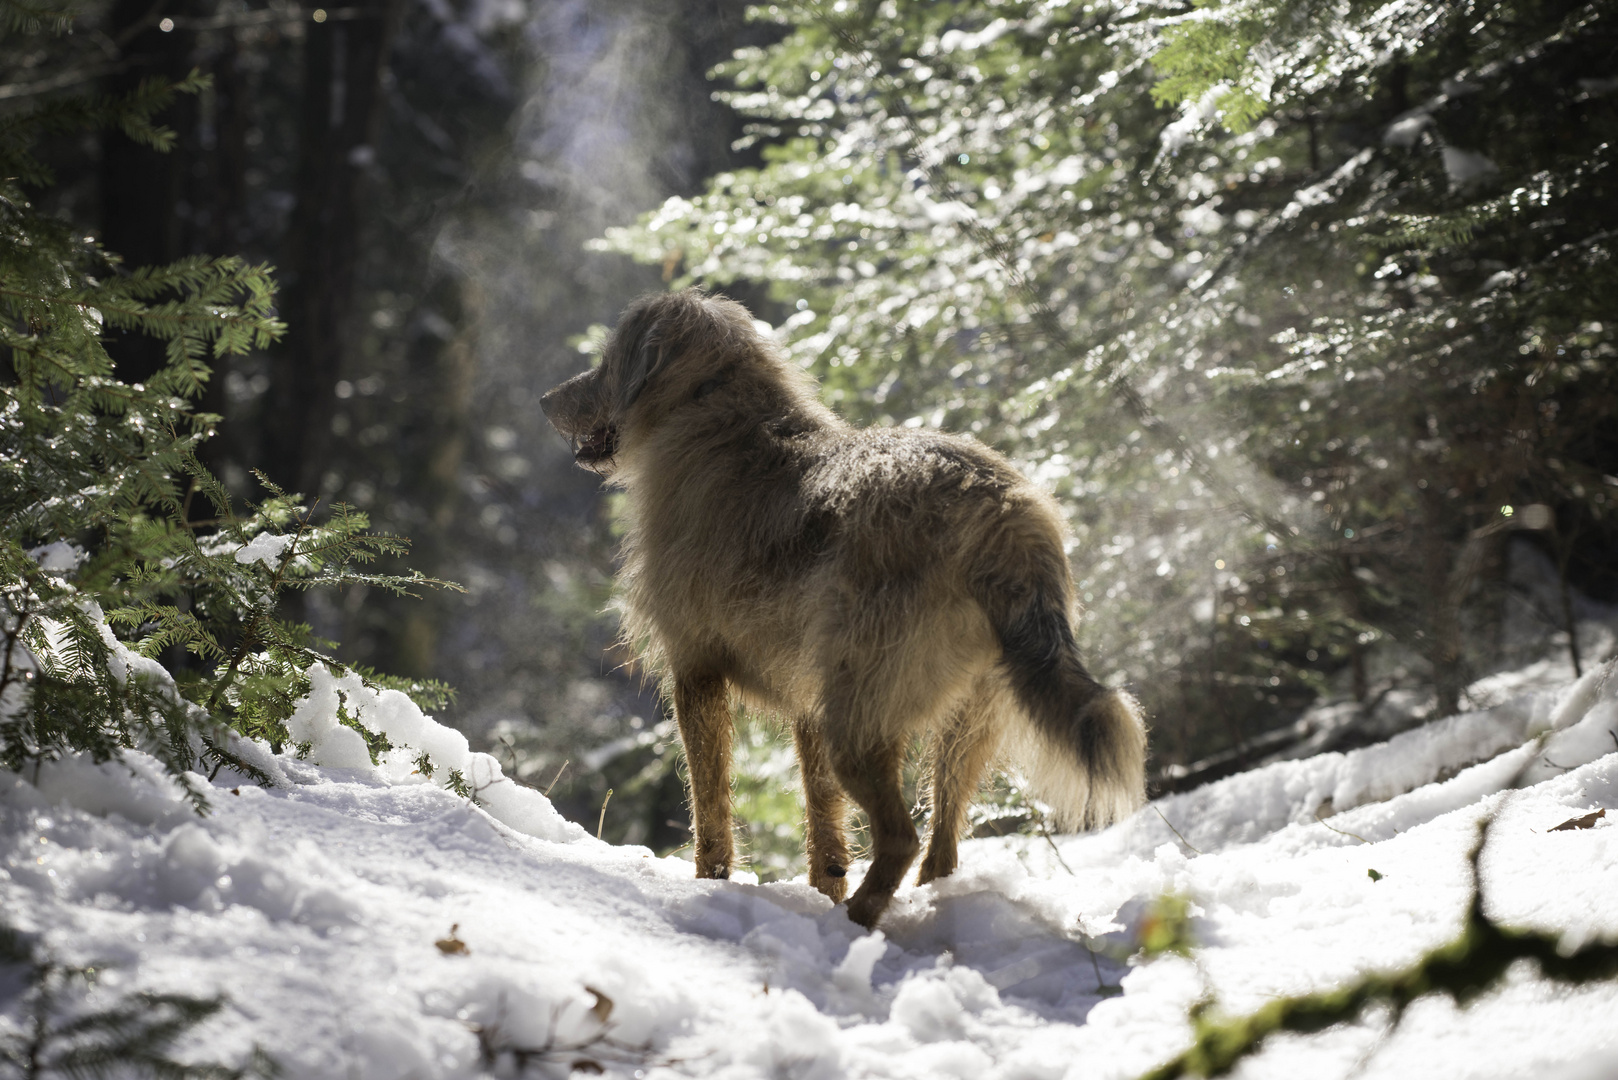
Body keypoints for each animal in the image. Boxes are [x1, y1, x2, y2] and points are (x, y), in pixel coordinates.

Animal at [543, 286, 1152, 932]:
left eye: (607, 362)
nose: (545, 401)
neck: (713, 408)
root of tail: (1003, 511)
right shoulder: (808, 703)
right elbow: (823, 819)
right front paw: (823, 887)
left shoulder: (696, 671)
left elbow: (710, 804)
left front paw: (712, 884)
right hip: (960, 721)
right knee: (942, 840)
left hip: (858, 719)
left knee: (902, 837)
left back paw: (856, 920)